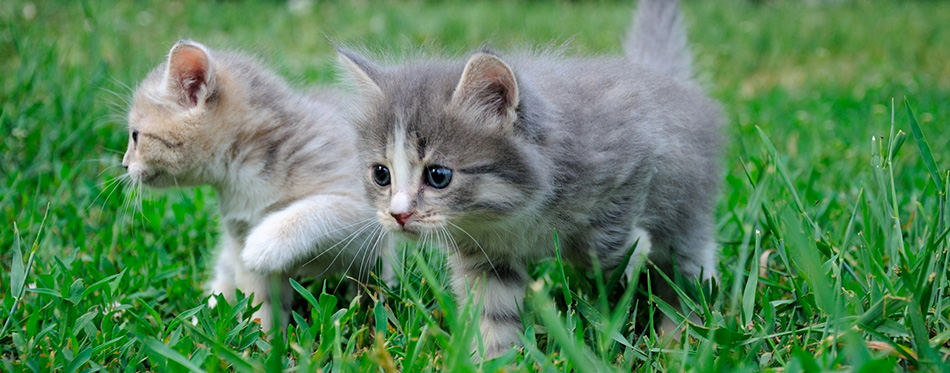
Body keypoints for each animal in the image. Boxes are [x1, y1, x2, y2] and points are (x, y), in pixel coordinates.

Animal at [123, 40, 390, 330]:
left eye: (135, 136)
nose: (124, 164)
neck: (243, 174)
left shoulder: (373, 204)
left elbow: (323, 207)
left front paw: (264, 242)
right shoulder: (238, 233)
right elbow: (259, 300)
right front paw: (261, 337)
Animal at [334, 0, 720, 358]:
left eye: (438, 175)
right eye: (381, 175)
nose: (398, 214)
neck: (510, 215)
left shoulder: (632, 157)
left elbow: (601, 248)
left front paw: (636, 253)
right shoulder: (487, 257)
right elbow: (494, 313)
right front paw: (494, 358)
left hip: (688, 205)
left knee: (690, 263)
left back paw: (681, 330)